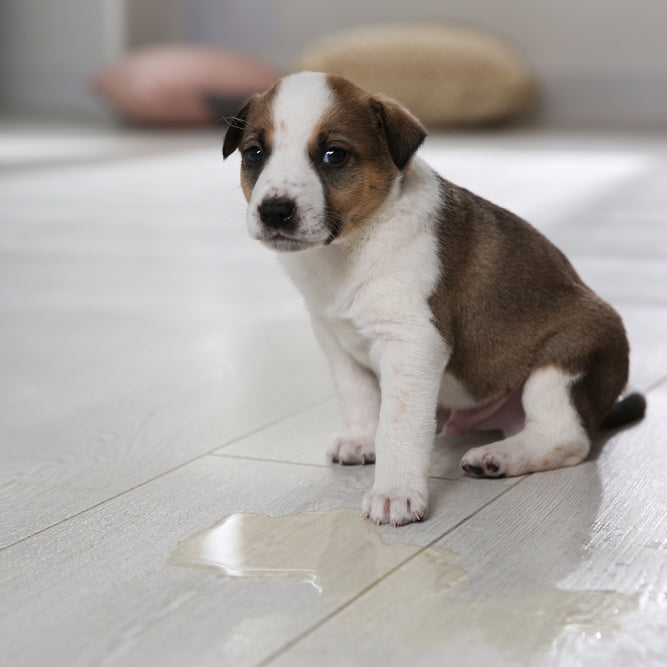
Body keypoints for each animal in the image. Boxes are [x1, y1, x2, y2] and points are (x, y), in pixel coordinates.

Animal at [224, 70, 648, 524]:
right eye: (254, 153)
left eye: (334, 155)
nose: (275, 211)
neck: (349, 249)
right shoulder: (334, 338)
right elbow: (358, 395)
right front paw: (360, 439)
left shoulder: (412, 343)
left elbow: (397, 425)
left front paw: (394, 492)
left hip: (564, 362)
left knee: (566, 436)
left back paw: (499, 456)